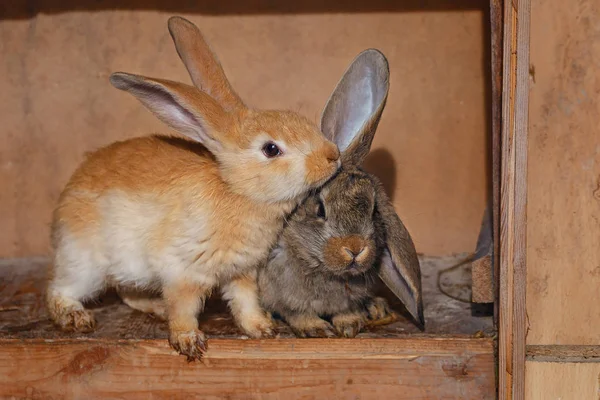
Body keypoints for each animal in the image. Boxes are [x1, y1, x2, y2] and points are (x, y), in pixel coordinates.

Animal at [46, 17, 338, 360]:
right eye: (271, 149)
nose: (333, 155)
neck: (236, 192)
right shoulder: (183, 271)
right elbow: (184, 308)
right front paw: (188, 342)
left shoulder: (242, 272)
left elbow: (245, 302)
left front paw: (262, 328)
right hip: (84, 264)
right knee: (59, 290)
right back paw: (76, 318)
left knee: (128, 293)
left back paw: (155, 307)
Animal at [256, 50, 422, 338]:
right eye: (320, 209)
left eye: (374, 210)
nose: (355, 248)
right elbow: (296, 313)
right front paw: (316, 328)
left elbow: (345, 310)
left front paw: (350, 324)